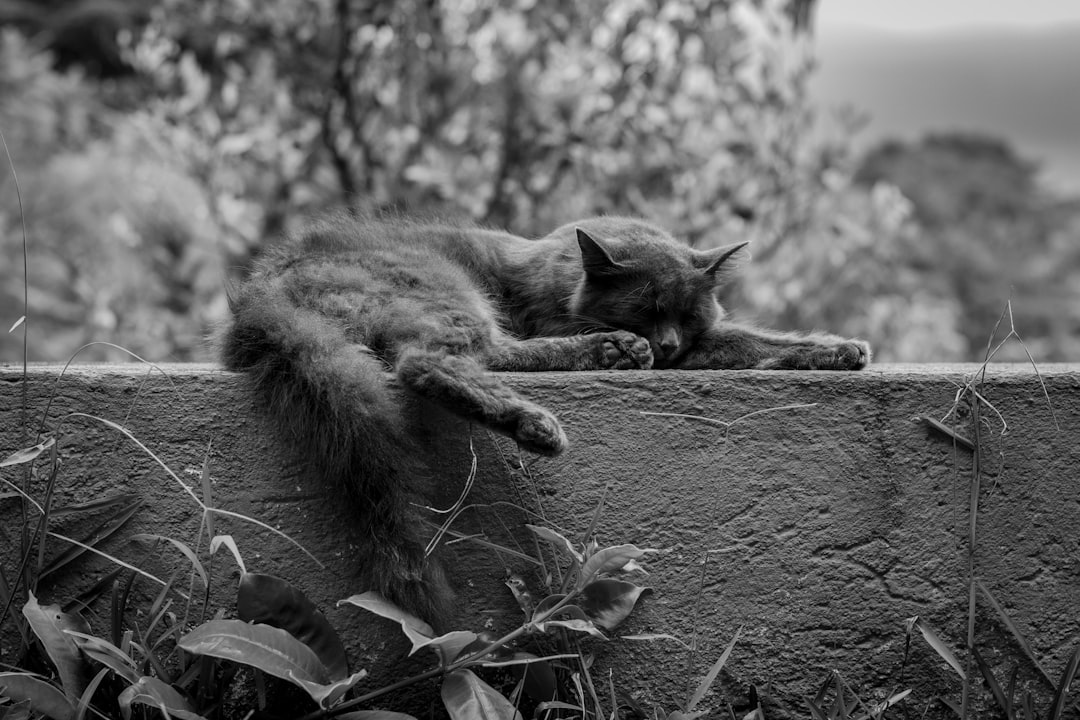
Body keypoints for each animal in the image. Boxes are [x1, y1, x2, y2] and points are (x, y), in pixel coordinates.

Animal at [219, 211, 868, 621]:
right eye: (645, 307)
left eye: (686, 312)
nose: (665, 344)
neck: (559, 273)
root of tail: (260, 295)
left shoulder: (703, 342)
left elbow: (752, 341)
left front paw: (837, 350)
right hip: (445, 290)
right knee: (430, 362)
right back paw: (563, 400)